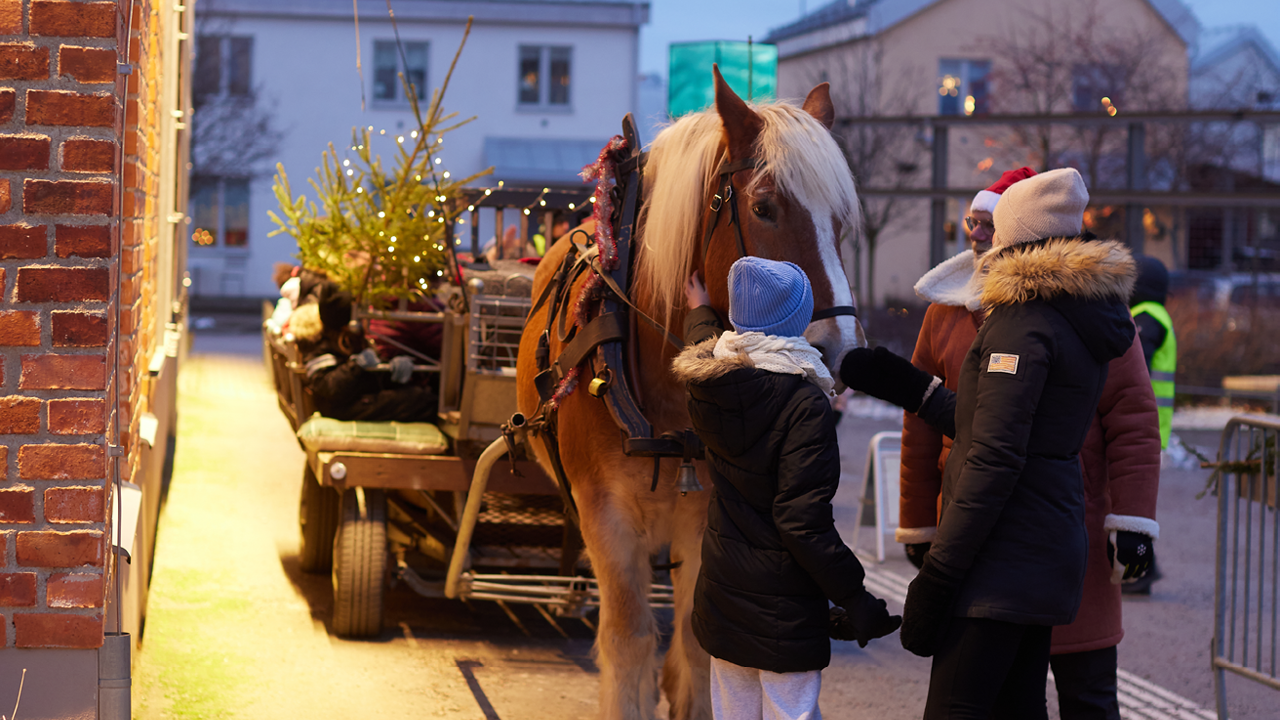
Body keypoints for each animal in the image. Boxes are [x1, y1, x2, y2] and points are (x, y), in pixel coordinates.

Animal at [514, 68, 865, 717]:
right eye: (763, 207)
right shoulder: (605, 516)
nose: (843, 352)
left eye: (840, 223)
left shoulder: (706, 520)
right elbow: (628, 638)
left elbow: (700, 642)